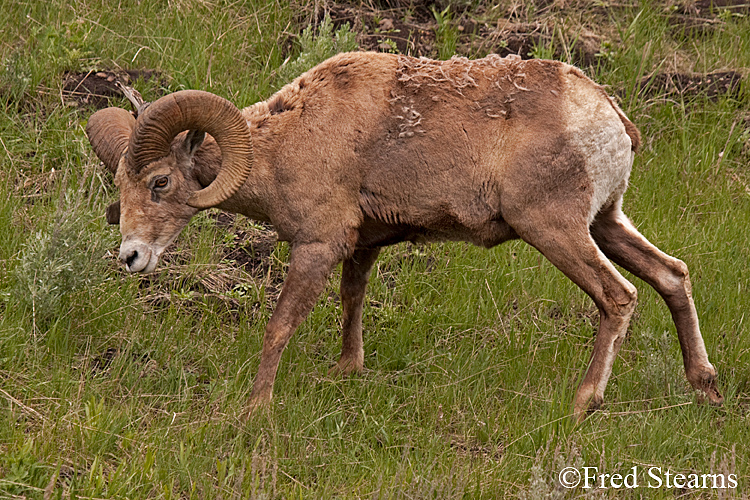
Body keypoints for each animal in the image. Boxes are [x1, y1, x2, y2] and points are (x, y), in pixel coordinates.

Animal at [83, 50, 724, 420]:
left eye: (161, 182)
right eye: (122, 185)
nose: (130, 257)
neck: (288, 144)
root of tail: (608, 118)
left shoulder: (316, 246)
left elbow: (280, 327)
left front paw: (255, 408)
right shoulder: (361, 247)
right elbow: (352, 303)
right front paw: (346, 372)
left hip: (557, 231)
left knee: (620, 297)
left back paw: (583, 403)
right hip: (607, 223)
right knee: (672, 276)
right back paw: (705, 387)